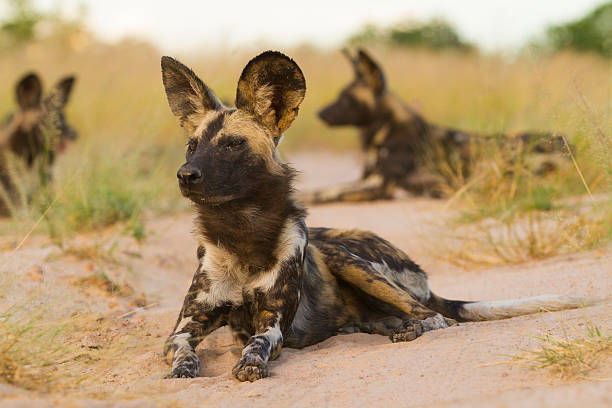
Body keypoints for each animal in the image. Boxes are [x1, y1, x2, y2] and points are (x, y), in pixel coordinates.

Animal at [304, 48, 572, 204]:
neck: (384, 131)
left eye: (346, 98)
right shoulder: (368, 180)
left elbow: (329, 193)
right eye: (340, 96)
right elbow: (320, 191)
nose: (319, 114)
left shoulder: (380, 185)